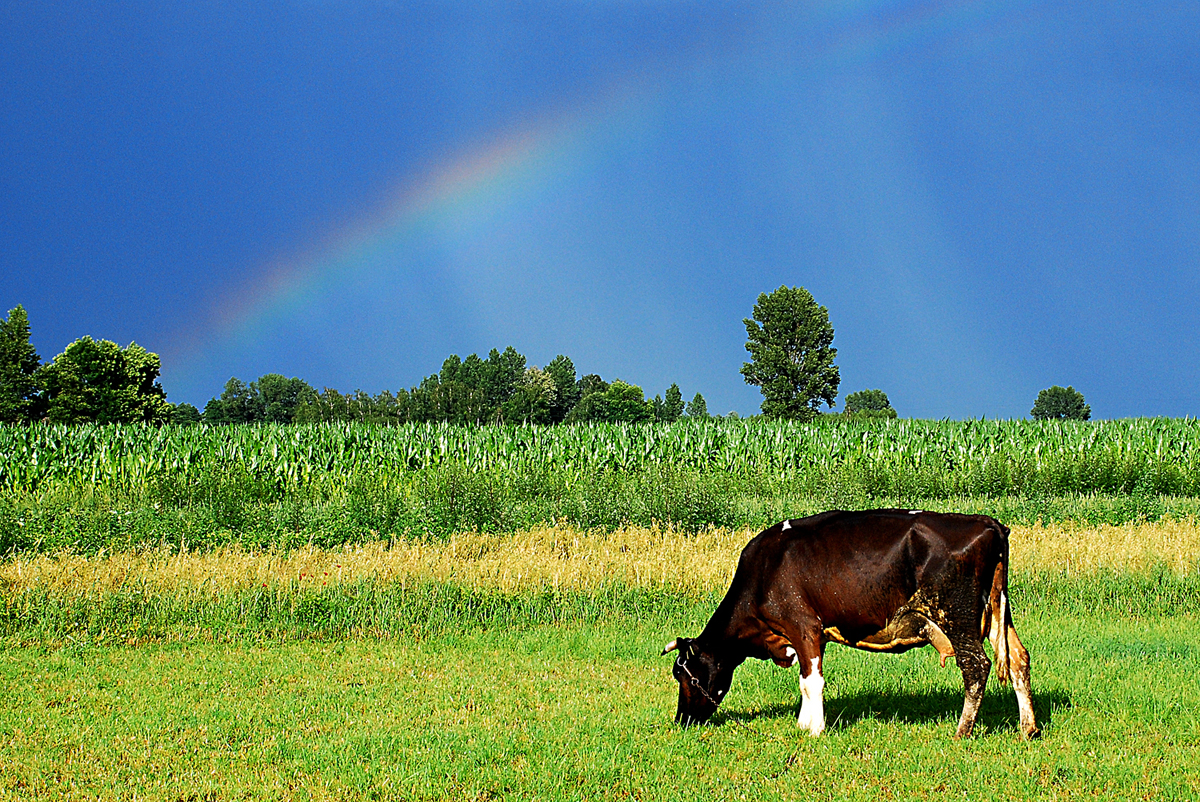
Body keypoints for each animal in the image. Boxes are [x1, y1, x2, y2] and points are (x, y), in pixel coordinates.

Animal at [662, 510, 1038, 739]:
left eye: (684, 676)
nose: (682, 720)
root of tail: (987, 522)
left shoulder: (803, 626)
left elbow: (811, 683)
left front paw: (814, 729)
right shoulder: (812, 637)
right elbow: (806, 680)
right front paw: (804, 723)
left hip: (956, 614)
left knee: (976, 666)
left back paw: (962, 731)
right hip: (997, 614)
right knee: (1019, 659)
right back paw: (1028, 728)